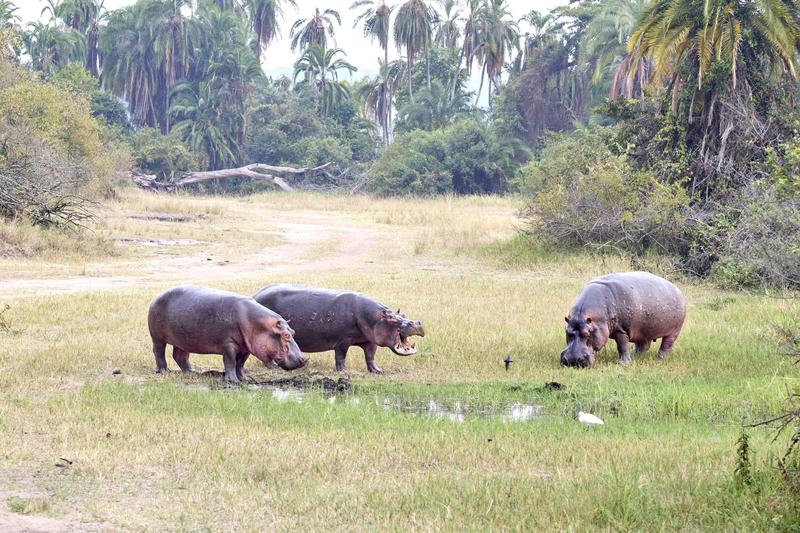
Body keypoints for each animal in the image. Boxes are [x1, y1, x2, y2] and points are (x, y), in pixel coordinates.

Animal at [147, 284, 306, 380]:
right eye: (285, 335)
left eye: (293, 332)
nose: (304, 359)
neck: (257, 324)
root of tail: (157, 296)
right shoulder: (228, 344)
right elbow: (230, 361)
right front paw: (233, 381)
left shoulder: (246, 346)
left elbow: (240, 364)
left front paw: (244, 379)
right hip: (157, 337)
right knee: (159, 352)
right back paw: (164, 371)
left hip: (183, 340)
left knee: (180, 356)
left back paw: (192, 372)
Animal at [252, 282, 424, 374]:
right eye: (391, 318)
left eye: (402, 313)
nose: (415, 323)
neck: (373, 317)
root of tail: (255, 295)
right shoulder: (343, 340)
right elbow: (341, 357)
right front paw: (343, 372)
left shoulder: (370, 340)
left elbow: (370, 356)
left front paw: (378, 371)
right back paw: (273, 367)